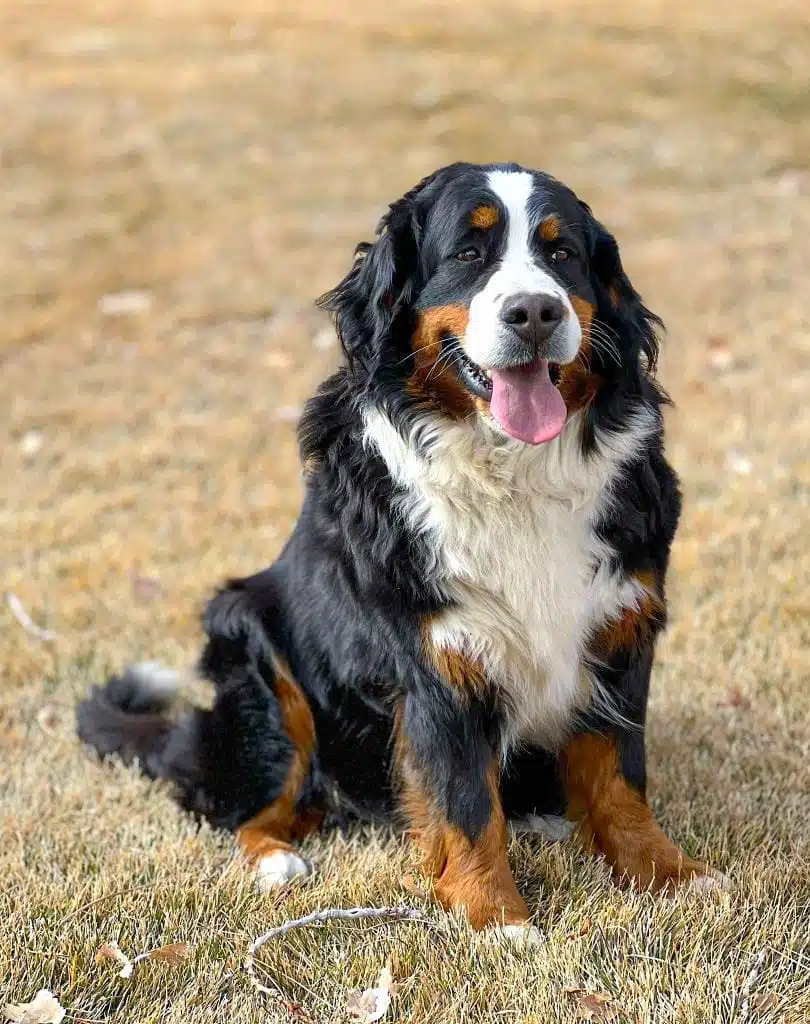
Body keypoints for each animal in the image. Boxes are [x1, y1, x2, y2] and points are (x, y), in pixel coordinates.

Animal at [77, 159, 729, 937]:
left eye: (562, 252)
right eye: (469, 253)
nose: (536, 313)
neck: (514, 471)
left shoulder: (620, 626)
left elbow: (620, 775)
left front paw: (668, 873)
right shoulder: (434, 661)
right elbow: (464, 800)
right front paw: (496, 917)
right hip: (258, 658)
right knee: (249, 800)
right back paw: (276, 858)